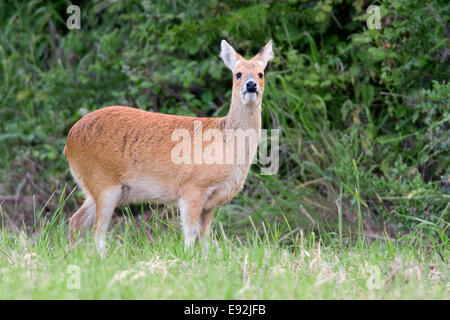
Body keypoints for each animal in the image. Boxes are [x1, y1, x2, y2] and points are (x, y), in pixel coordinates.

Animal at [64, 39, 272, 258]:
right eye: (238, 74)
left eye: (261, 73)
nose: (251, 85)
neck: (227, 142)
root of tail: (70, 141)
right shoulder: (192, 187)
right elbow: (190, 232)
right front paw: (187, 259)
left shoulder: (211, 202)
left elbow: (206, 237)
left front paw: (205, 260)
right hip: (103, 182)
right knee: (97, 233)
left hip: (99, 187)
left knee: (76, 221)